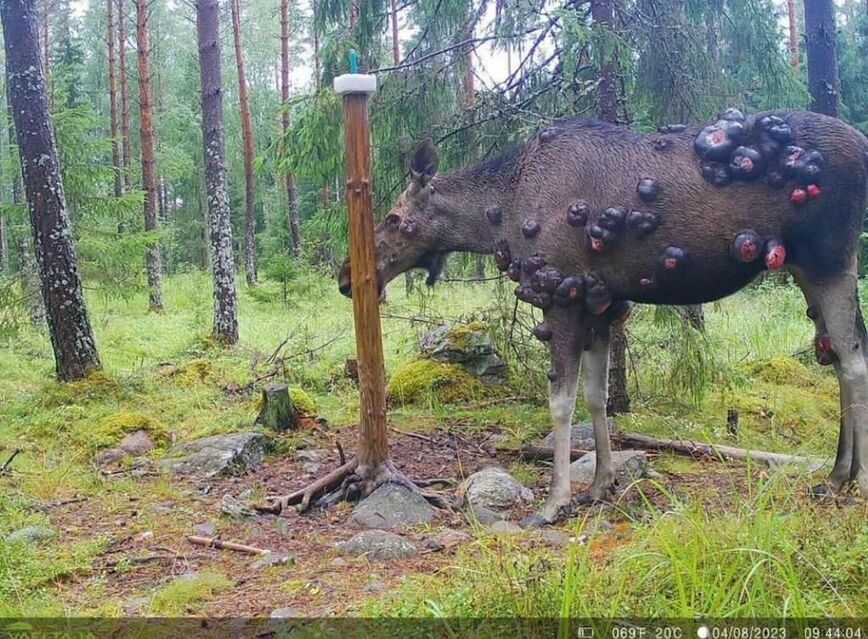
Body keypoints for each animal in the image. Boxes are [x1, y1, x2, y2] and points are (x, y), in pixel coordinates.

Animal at [340, 110, 868, 528]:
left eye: (393, 218)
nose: (347, 276)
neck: (501, 213)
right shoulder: (601, 301)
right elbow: (597, 397)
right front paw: (600, 484)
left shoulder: (562, 295)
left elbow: (560, 403)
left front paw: (554, 502)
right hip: (804, 268)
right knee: (836, 354)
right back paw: (836, 474)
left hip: (829, 256)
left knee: (852, 358)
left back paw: (852, 480)